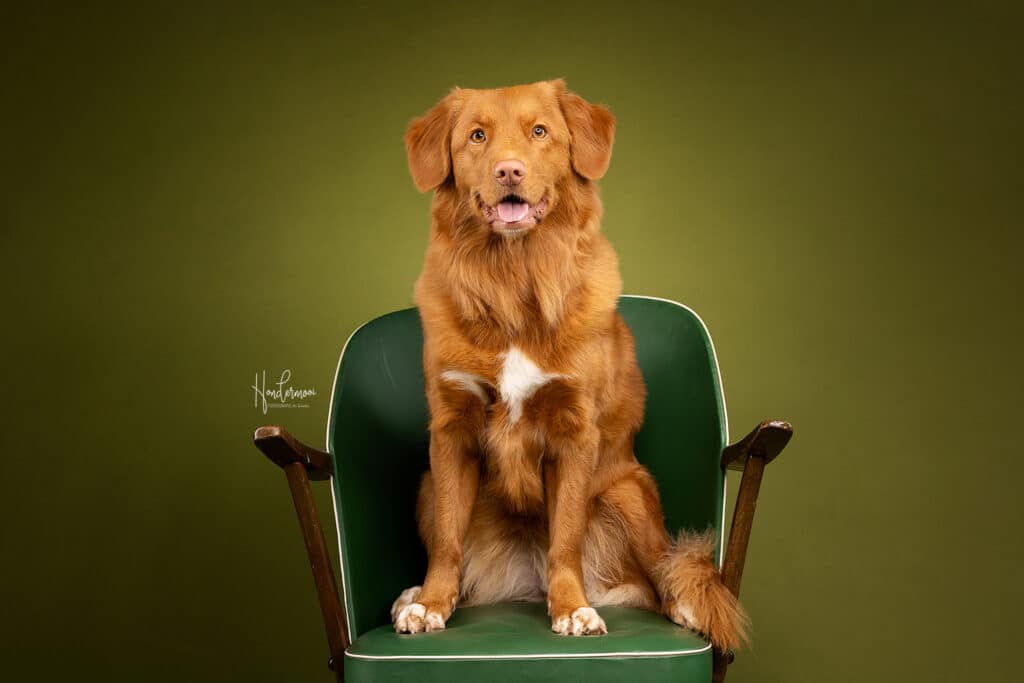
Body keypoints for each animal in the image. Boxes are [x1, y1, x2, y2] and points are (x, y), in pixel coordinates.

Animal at [391, 77, 745, 651]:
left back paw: (683, 603)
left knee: (664, 572)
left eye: (540, 132)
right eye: (476, 136)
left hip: (629, 491)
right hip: (425, 483)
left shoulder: (575, 432)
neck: (513, 283)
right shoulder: (450, 432)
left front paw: (572, 609)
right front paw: (431, 604)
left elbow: (566, 538)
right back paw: (414, 594)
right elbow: (447, 538)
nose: (509, 171)